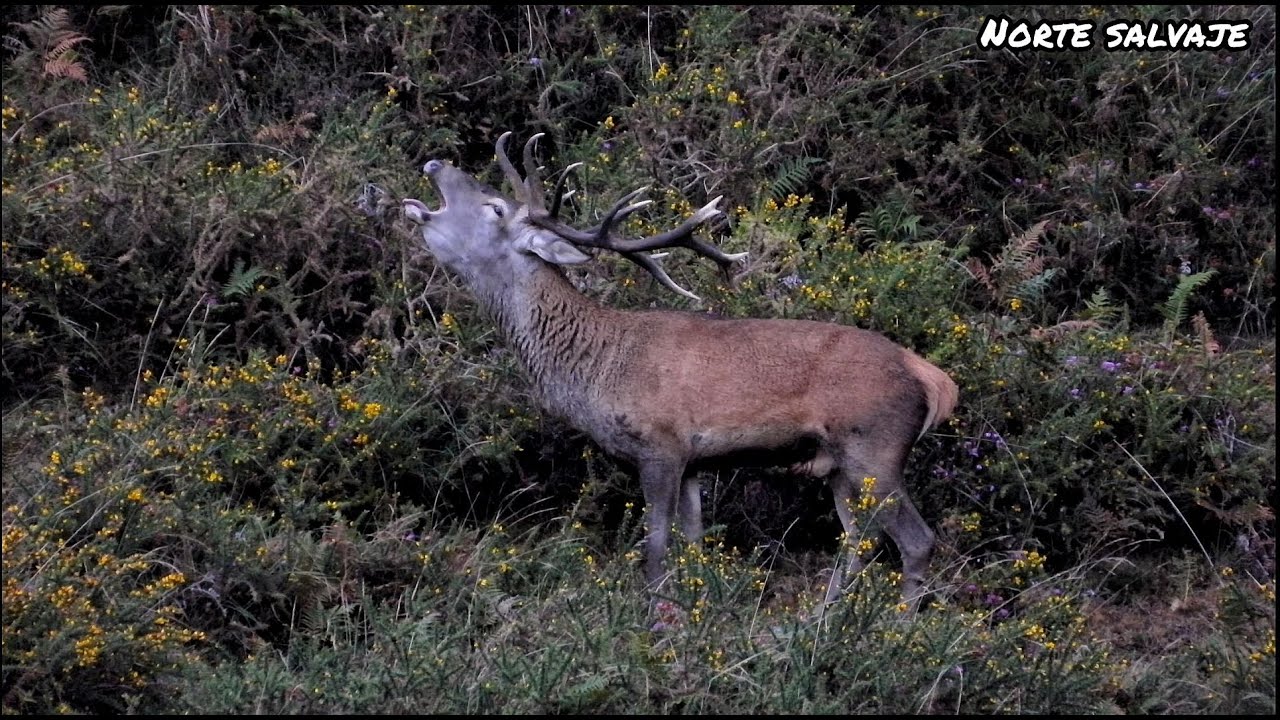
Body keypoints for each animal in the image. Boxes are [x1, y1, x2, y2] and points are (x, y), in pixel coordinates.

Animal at [402, 132, 959, 610]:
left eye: (494, 208)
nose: (436, 164)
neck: (596, 370)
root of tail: (931, 377)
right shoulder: (695, 462)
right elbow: (693, 546)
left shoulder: (661, 445)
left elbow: (655, 553)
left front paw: (655, 622)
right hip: (843, 467)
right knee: (859, 539)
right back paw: (822, 619)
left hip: (875, 449)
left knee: (916, 541)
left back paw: (896, 626)